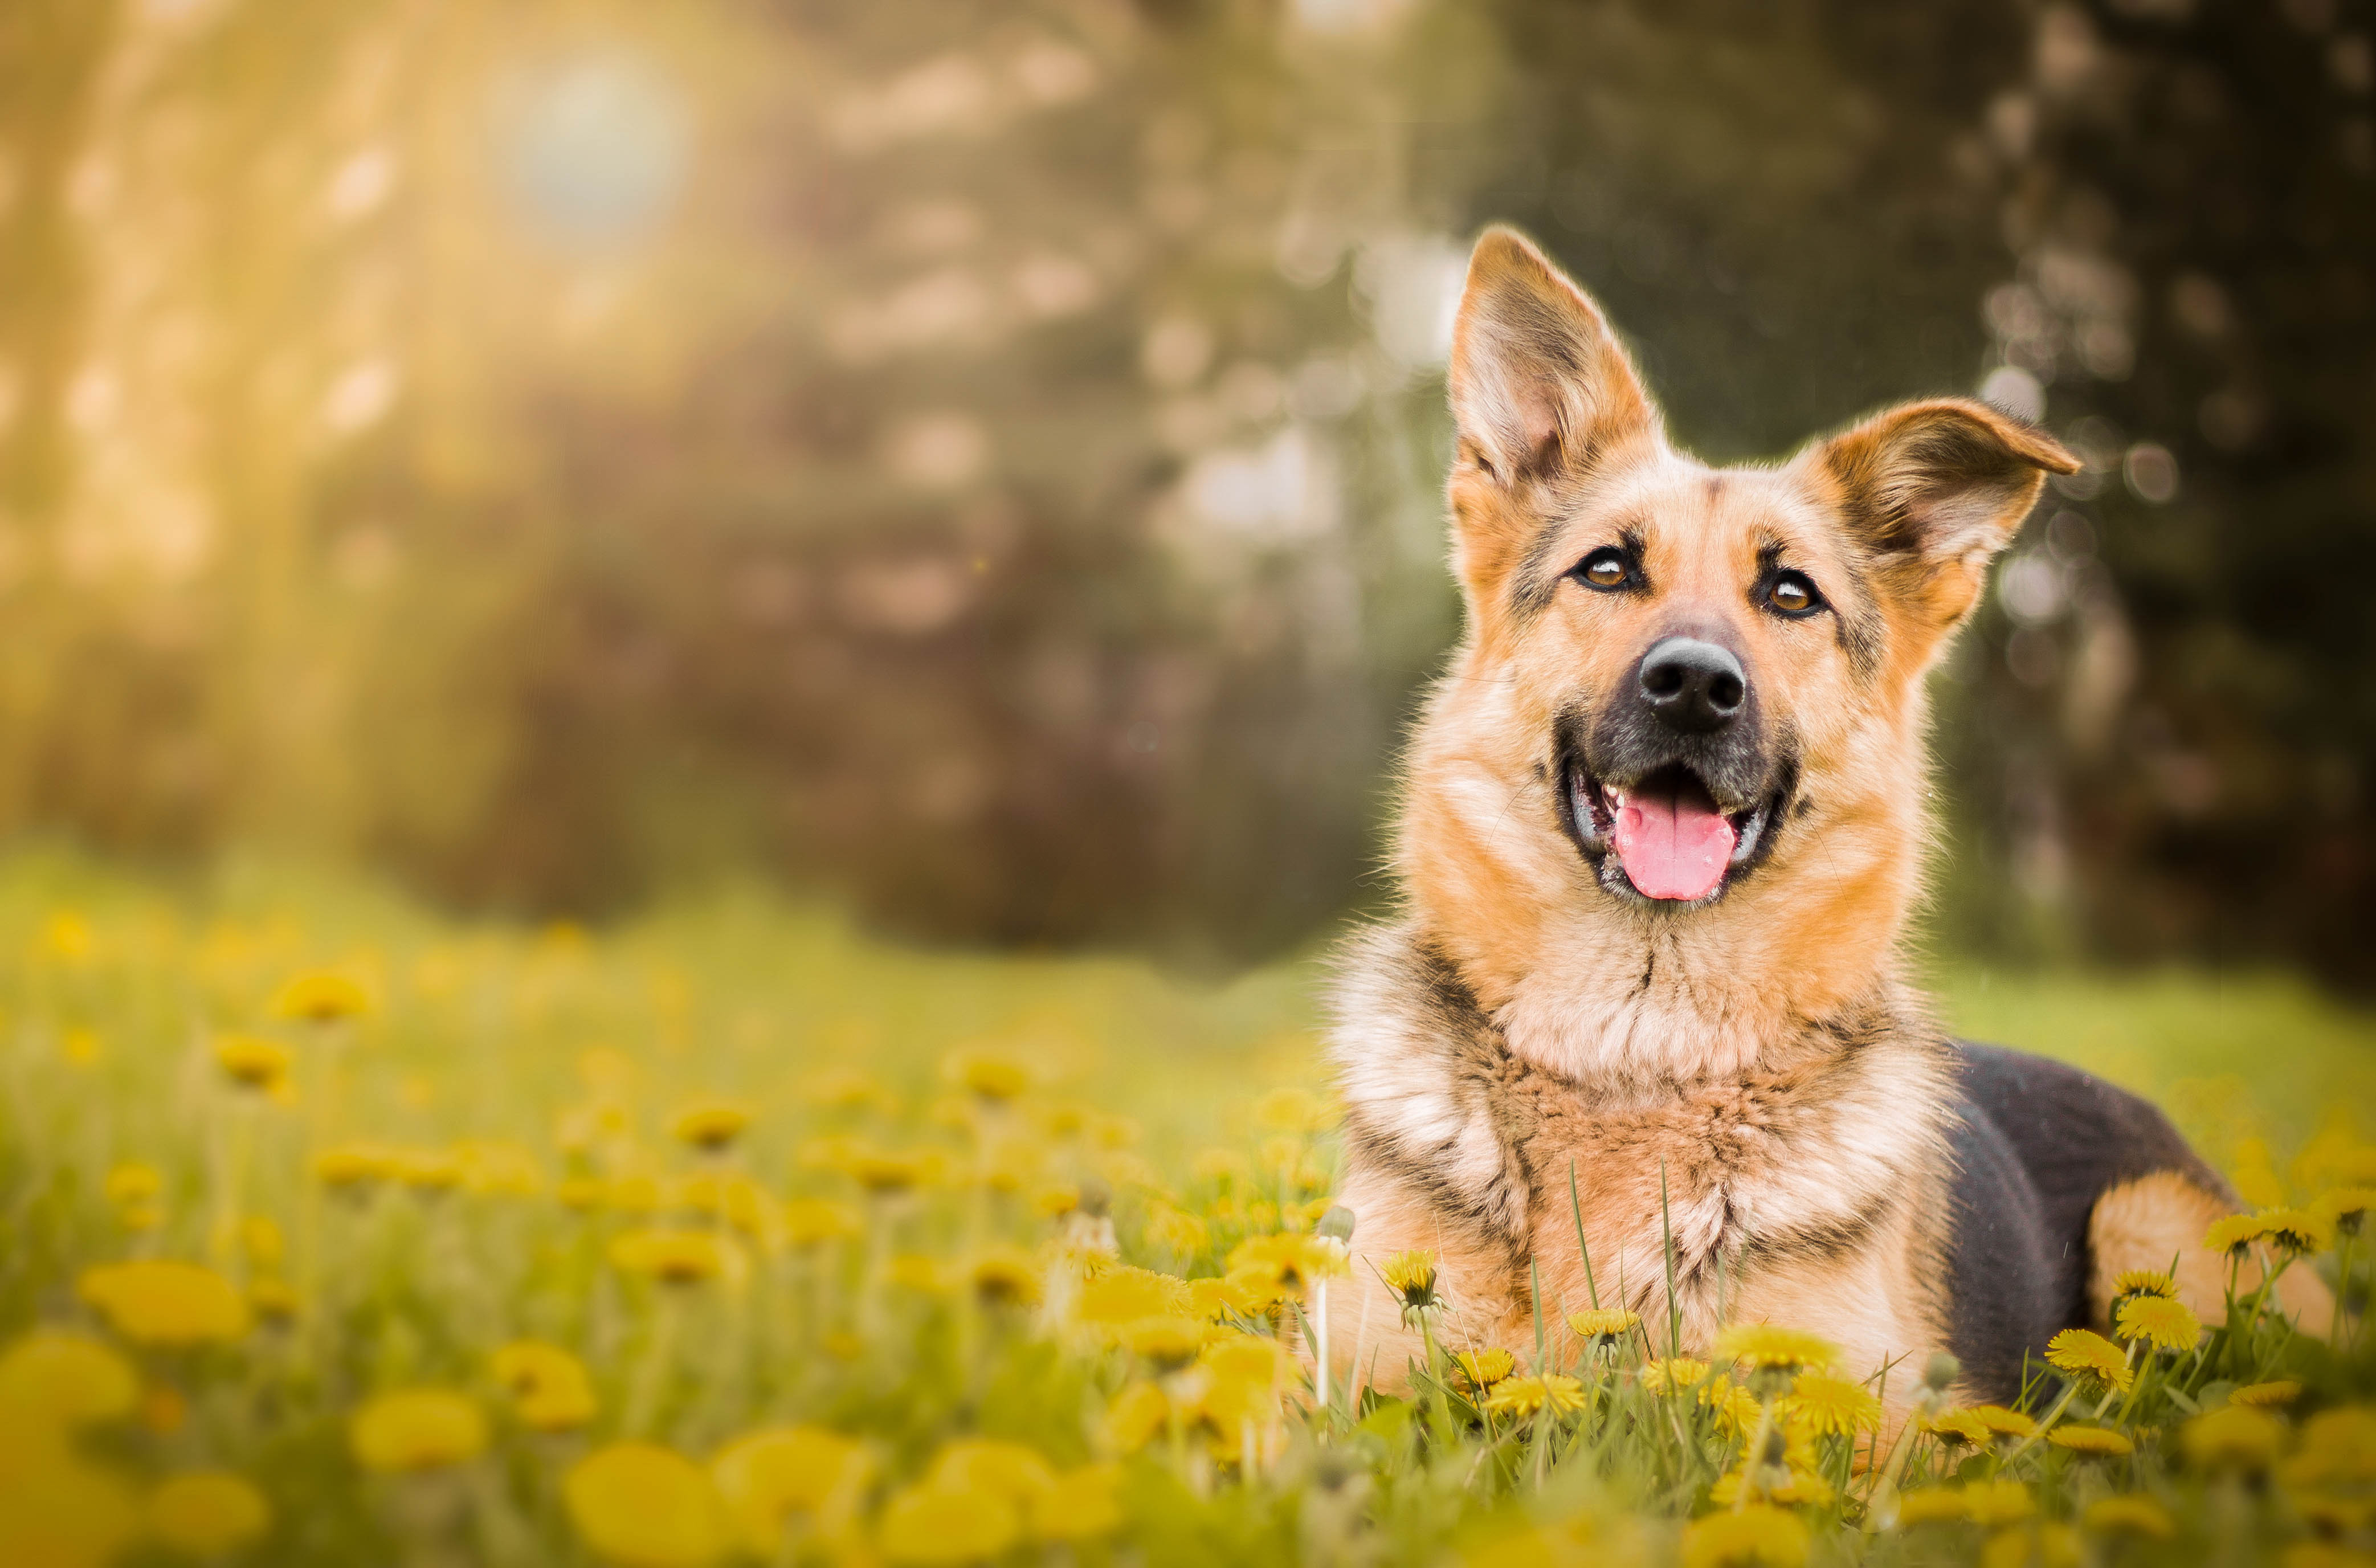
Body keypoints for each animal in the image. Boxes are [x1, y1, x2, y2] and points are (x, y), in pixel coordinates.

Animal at [1330, 227, 2328, 1416]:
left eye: (1793, 594)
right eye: (1608, 569)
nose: (1694, 686)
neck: (1641, 1043)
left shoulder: (1866, 1423)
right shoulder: (1343, 1393)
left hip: (2153, 1232)